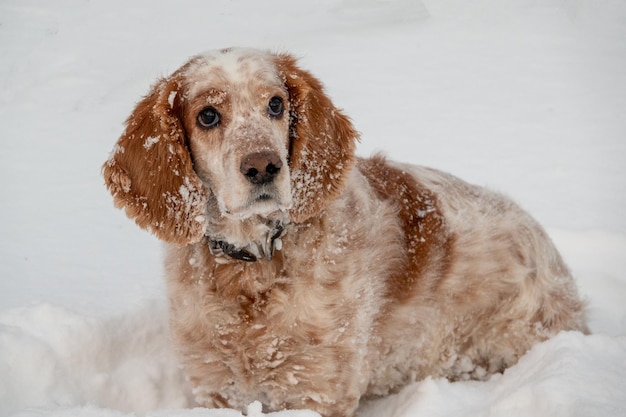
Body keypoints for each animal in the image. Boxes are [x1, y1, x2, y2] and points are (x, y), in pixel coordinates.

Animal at [102, 47, 584, 416]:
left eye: (275, 104)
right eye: (207, 116)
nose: (263, 166)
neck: (254, 266)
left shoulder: (318, 388)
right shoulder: (215, 386)